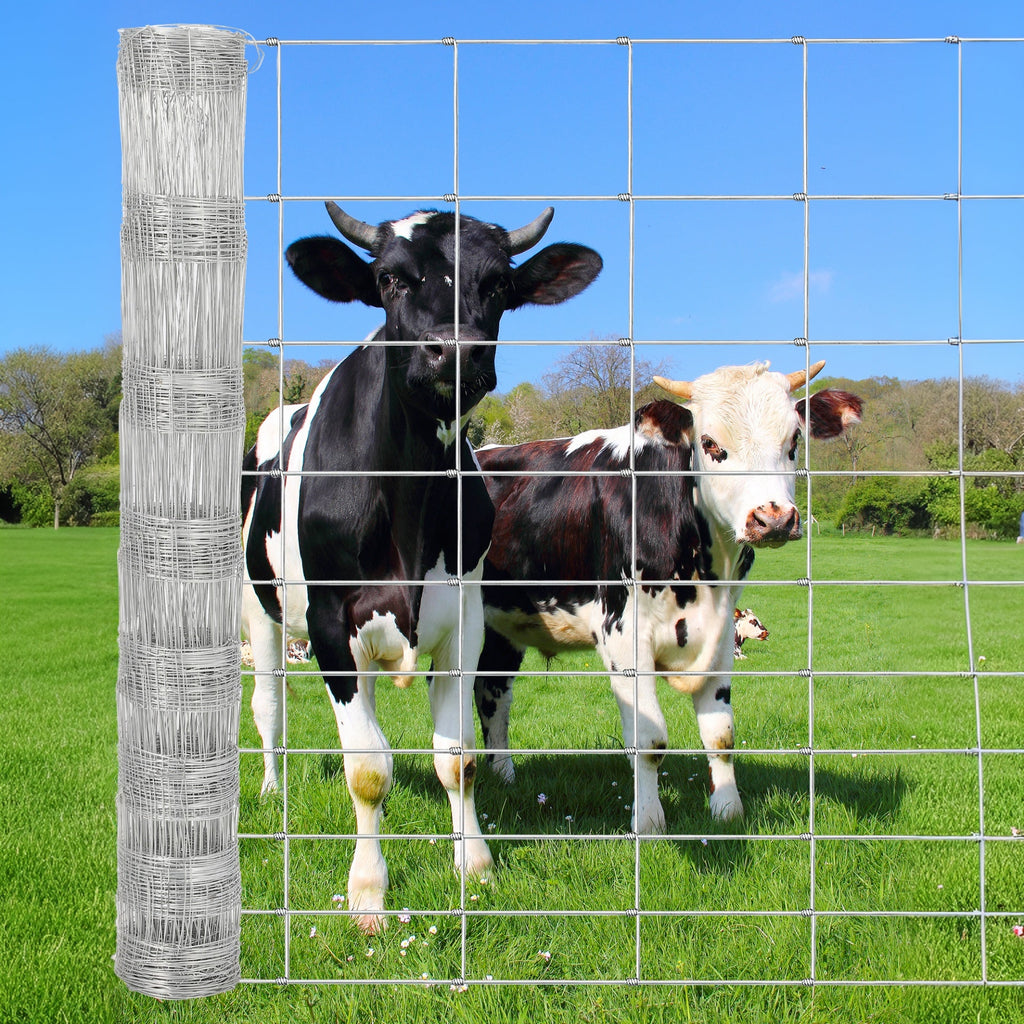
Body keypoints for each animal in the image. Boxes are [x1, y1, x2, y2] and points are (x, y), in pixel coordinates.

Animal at [241, 202, 602, 932]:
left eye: (498, 283)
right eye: (389, 278)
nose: (454, 351)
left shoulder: (463, 619)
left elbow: (457, 758)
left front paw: (476, 865)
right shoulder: (330, 622)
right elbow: (367, 771)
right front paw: (368, 894)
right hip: (256, 605)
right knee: (269, 706)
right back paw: (269, 787)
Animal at [473, 361, 862, 833]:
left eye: (794, 441)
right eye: (709, 443)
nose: (773, 519)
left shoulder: (721, 637)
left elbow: (721, 734)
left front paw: (727, 810)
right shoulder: (623, 635)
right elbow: (649, 739)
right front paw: (649, 820)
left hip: (501, 627)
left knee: (493, 694)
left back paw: (504, 777)